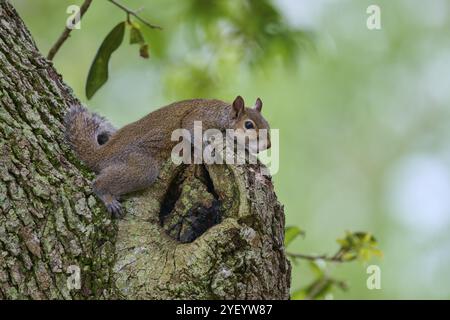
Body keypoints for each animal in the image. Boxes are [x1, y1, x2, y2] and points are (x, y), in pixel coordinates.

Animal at [64, 95, 268, 218]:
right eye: (248, 125)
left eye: (266, 123)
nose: (268, 145)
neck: (222, 115)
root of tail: (103, 153)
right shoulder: (198, 118)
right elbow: (191, 130)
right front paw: (206, 150)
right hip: (140, 167)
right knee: (100, 183)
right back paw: (106, 196)